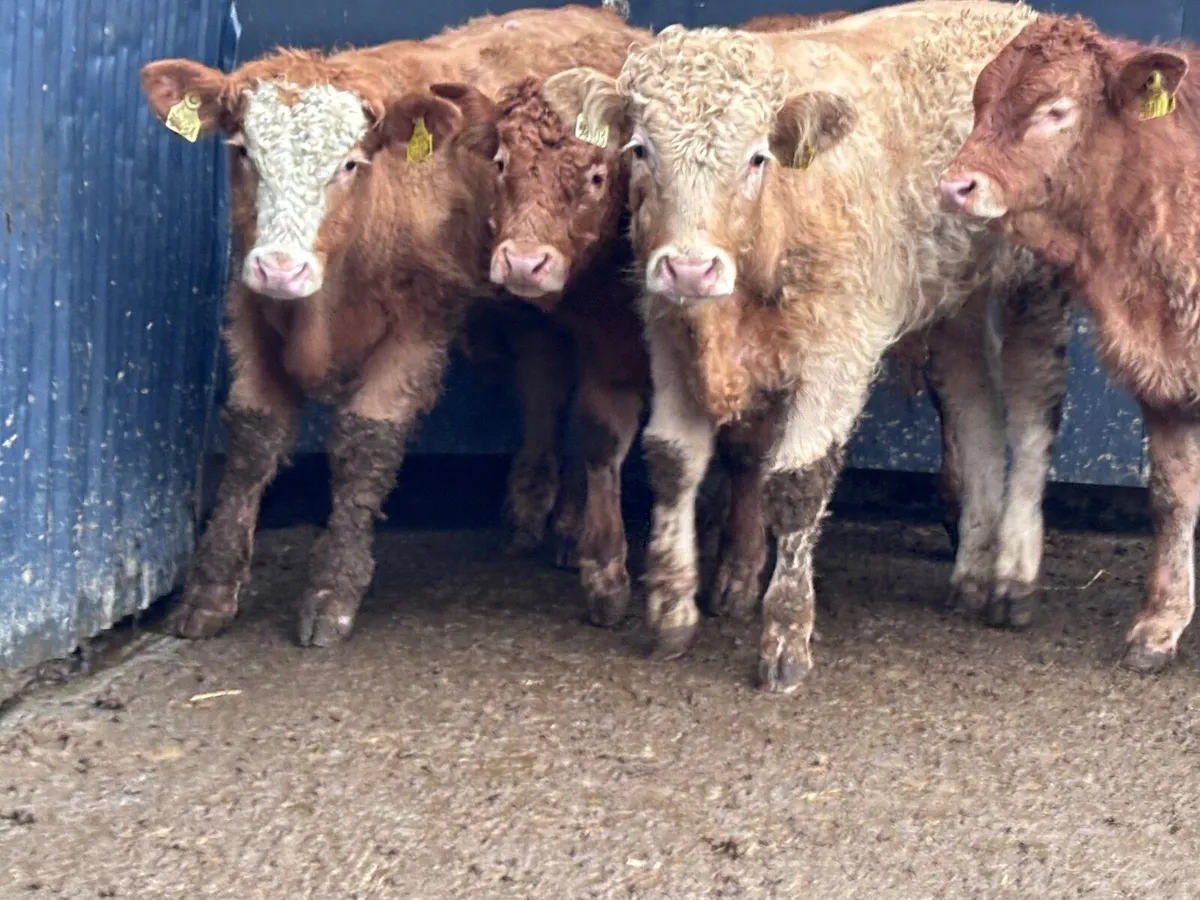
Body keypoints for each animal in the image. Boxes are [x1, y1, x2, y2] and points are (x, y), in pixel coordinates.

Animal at [137, 2, 635, 647]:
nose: (281, 267)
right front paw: (210, 590)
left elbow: (365, 445)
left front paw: (333, 591)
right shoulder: (249, 311)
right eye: (244, 151)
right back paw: (531, 513)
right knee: (543, 382)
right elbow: (252, 440)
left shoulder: (418, 327)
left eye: (351, 163)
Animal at [540, 0, 1074, 692]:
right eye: (639, 149)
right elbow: (672, 461)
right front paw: (670, 610)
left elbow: (796, 486)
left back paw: (1012, 576)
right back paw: (973, 570)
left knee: (1033, 409)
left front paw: (785, 636)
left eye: (756, 158)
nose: (690, 268)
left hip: (1037, 277)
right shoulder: (668, 331)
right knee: (973, 403)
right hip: (949, 292)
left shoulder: (838, 346)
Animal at [938, 14, 1200, 673]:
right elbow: (1173, 496)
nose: (954, 186)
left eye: (1055, 110)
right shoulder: (1166, 377)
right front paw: (1161, 623)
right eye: (980, 103)